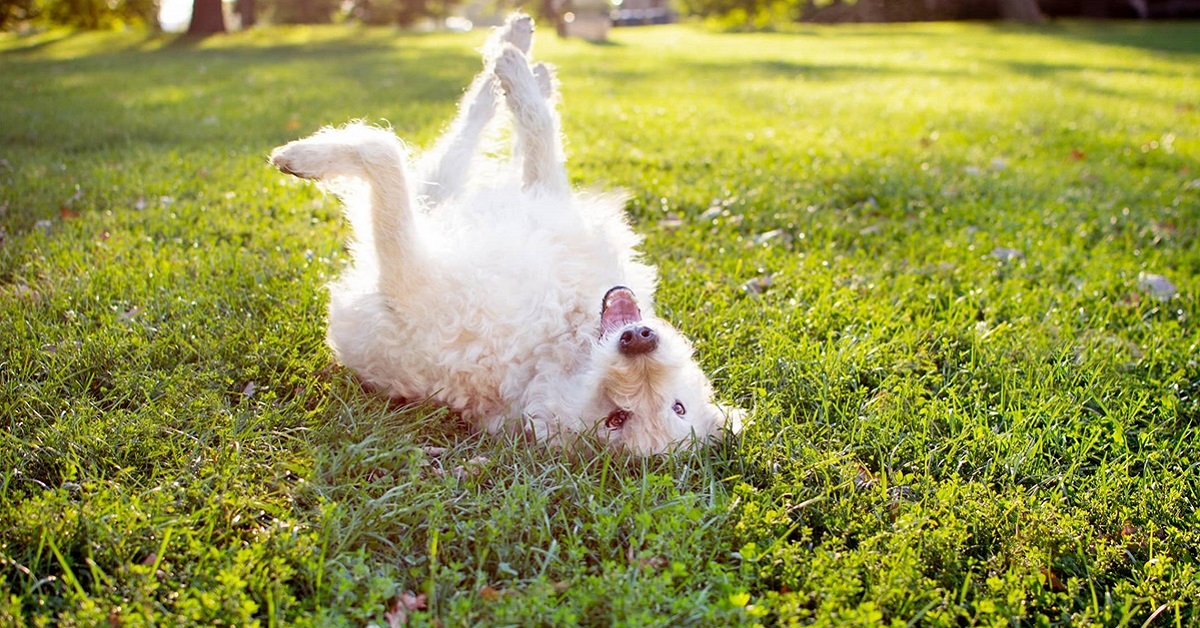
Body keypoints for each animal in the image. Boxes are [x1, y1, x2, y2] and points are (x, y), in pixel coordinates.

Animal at [270, 14, 739, 453]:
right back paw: (521, 49)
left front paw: (306, 157)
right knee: (477, 123)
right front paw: (525, 73)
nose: (638, 342)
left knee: (443, 138)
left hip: (430, 203)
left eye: (617, 419)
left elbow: (386, 150)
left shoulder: (406, 275)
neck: (556, 343)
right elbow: (534, 136)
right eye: (677, 406)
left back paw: (512, 59)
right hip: (446, 192)